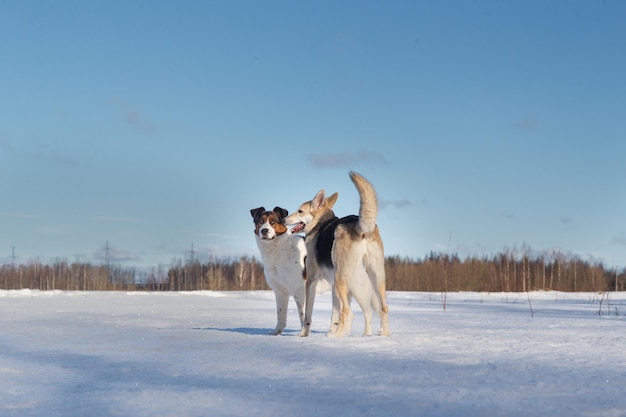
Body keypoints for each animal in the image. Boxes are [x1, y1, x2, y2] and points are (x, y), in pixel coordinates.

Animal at [286, 171, 388, 336]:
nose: (283, 218)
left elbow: (307, 314)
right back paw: (379, 334)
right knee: (382, 308)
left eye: (300, 211)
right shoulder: (333, 286)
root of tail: (359, 227)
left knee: (348, 311)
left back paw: (338, 337)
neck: (320, 224)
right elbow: (334, 314)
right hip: (374, 279)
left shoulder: (311, 281)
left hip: (343, 279)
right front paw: (330, 332)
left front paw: (304, 335)